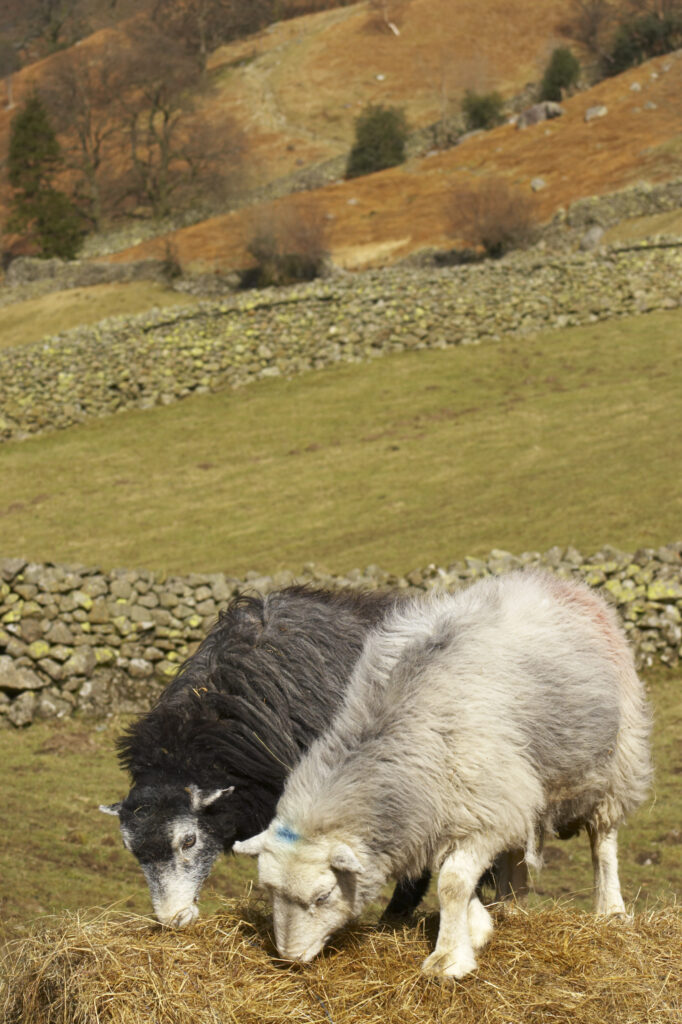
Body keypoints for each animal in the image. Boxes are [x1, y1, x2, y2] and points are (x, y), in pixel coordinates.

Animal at [235, 571, 652, 979]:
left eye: (322, 896)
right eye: (269, 892)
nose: (289, 958)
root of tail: (564, 583)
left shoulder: (483, 810)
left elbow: (451, 883)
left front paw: (449, 957)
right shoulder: (450, 808)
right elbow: (454, 875)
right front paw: (479, 926)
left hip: (617, 759)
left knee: (603, 840)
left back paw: (610, 909)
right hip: (516, 787)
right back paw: (510, 905)